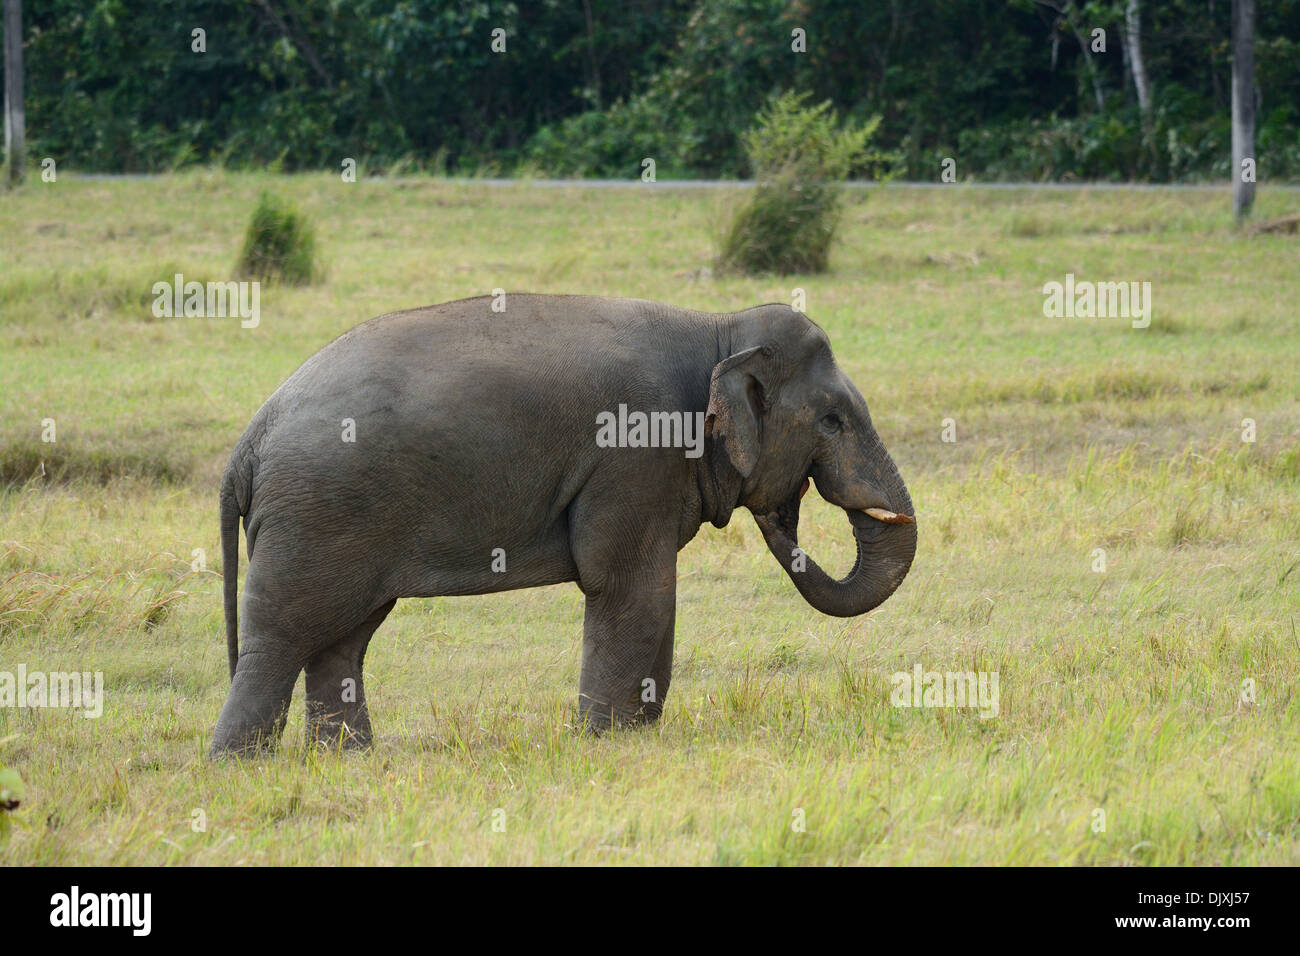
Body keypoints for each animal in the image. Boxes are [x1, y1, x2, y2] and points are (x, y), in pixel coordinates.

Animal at [209, 294, 916, 757]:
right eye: (832, 420)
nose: (781, 511)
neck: (718, 326)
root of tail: (249, 439)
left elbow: (653, 589)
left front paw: (633, 735)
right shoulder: (634, 452)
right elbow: (628, 584)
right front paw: (606, 743)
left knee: (344, 636)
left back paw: (346, 758)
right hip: (317, 513)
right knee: (284, 633)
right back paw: (240, 765)